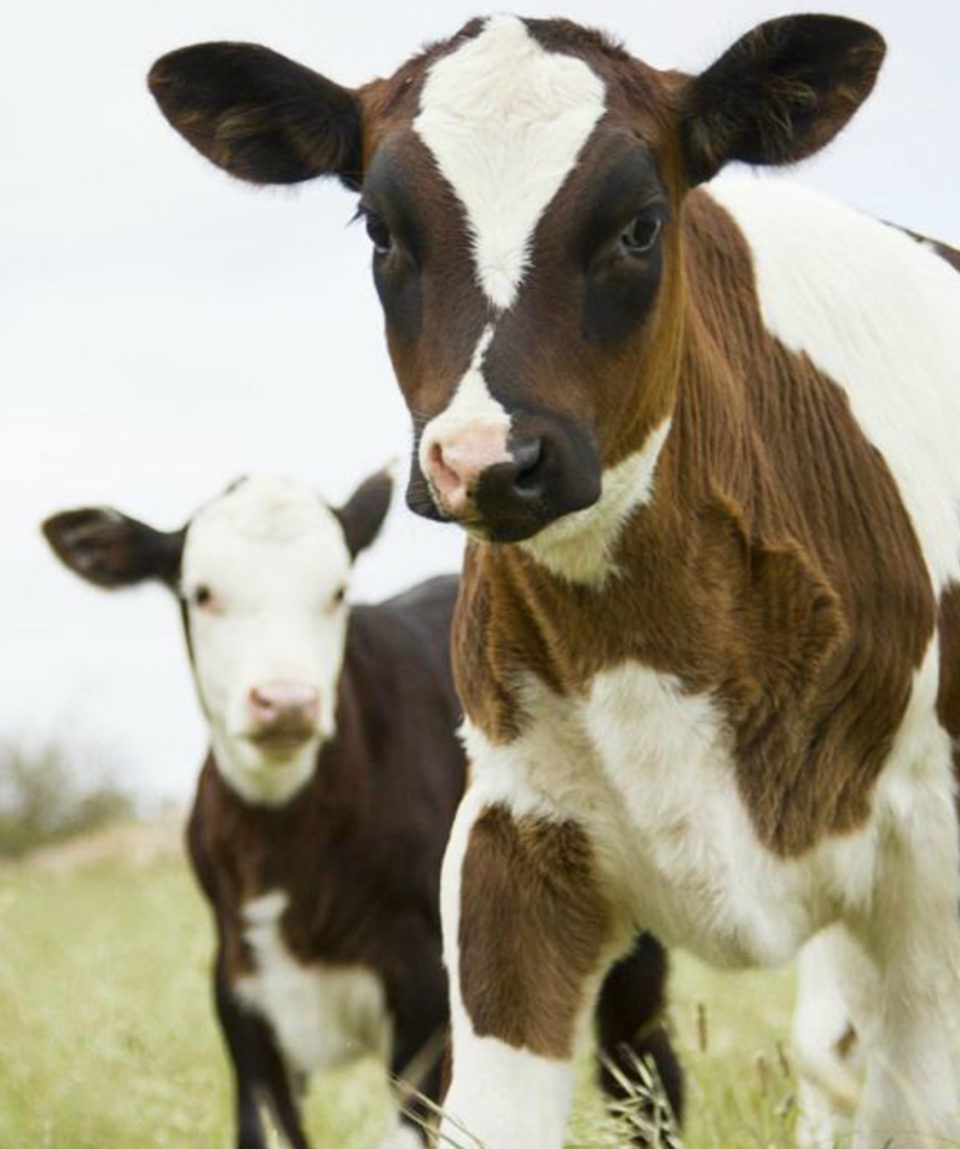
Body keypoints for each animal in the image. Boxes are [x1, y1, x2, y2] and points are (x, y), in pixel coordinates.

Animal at [39, 471, 684, 1144]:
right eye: (202, 593)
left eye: (337, 591)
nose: (286, 701)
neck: (285, 848)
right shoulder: (242, 1003)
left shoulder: (427, 993)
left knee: (644, 1074)